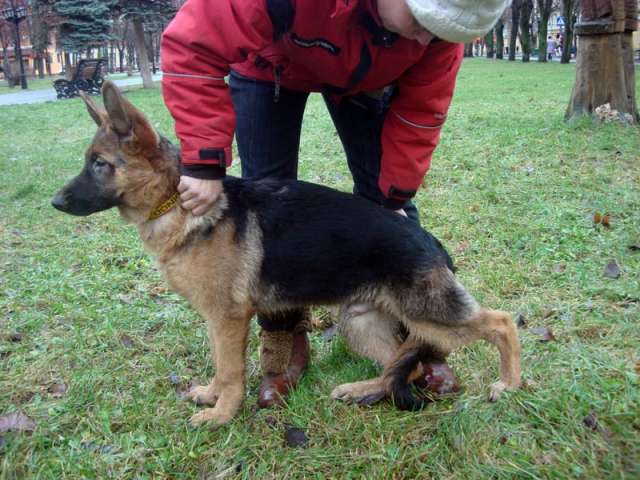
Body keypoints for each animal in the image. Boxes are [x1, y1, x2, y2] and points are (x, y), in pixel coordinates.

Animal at [50, 82, 520, 428]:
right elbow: (219, 365)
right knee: (410, 368)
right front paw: (211, 396)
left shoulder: (228, 318)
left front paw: (221, 414)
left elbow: (231, 371)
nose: (55, 202)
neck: (175, 201)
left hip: (429, 313)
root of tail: (430, 241)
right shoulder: (216, 320)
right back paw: (363, 390)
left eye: (99, 164)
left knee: (501, 323)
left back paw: (509, 384)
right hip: (361, 321)